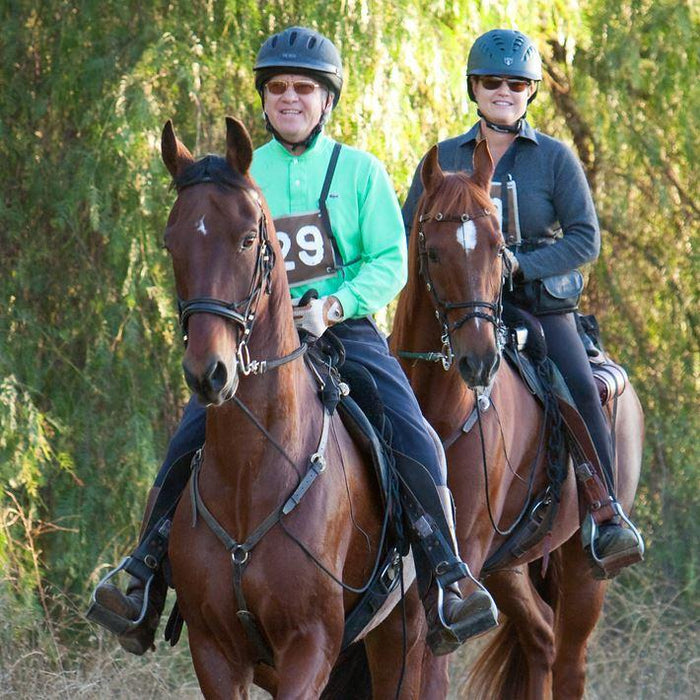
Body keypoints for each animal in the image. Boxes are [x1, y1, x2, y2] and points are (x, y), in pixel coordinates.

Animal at [160, 117, 432, 696]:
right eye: (172, 243)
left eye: (248, 239)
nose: (209, 373)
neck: (251, 469)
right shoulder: (215, 653)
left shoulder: (310, 646)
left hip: (405, 636)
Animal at [392, 139, 644, 696]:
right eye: (432, 251)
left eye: (497, 249)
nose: (479, 361)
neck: (442, 410)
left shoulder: (462, 558)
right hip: (507, 568)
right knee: (540, 642)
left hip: (580, 570)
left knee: (569, 661)